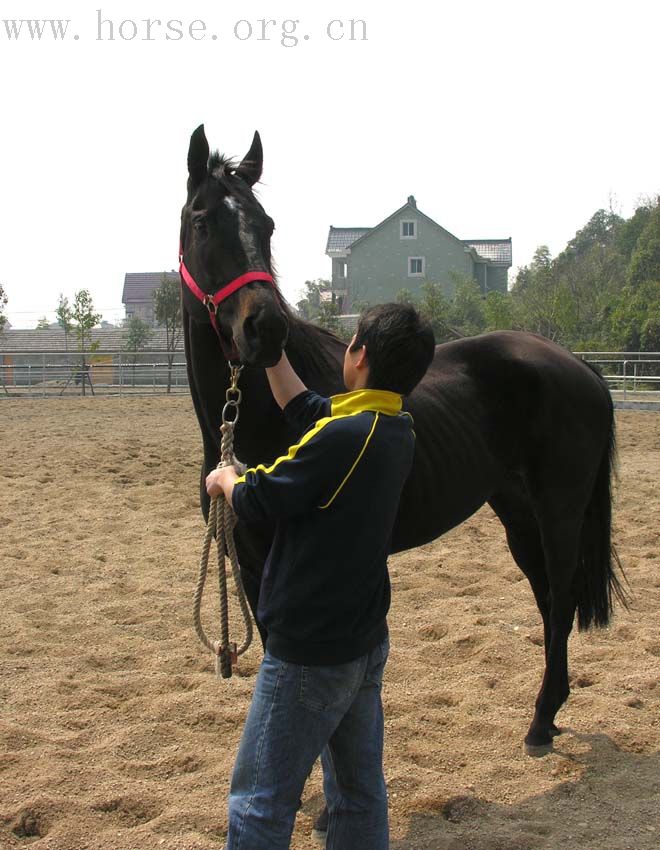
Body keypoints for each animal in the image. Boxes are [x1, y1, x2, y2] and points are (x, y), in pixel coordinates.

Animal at [179, 124, 624, 748]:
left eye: (265, 226)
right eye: (202, 221)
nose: (264, 329)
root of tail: (580, 365)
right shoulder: (247, 561)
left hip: (560, 511)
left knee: (560, 600)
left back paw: (540, 723)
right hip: (518, 512)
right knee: (544, 598)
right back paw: (549, 714)